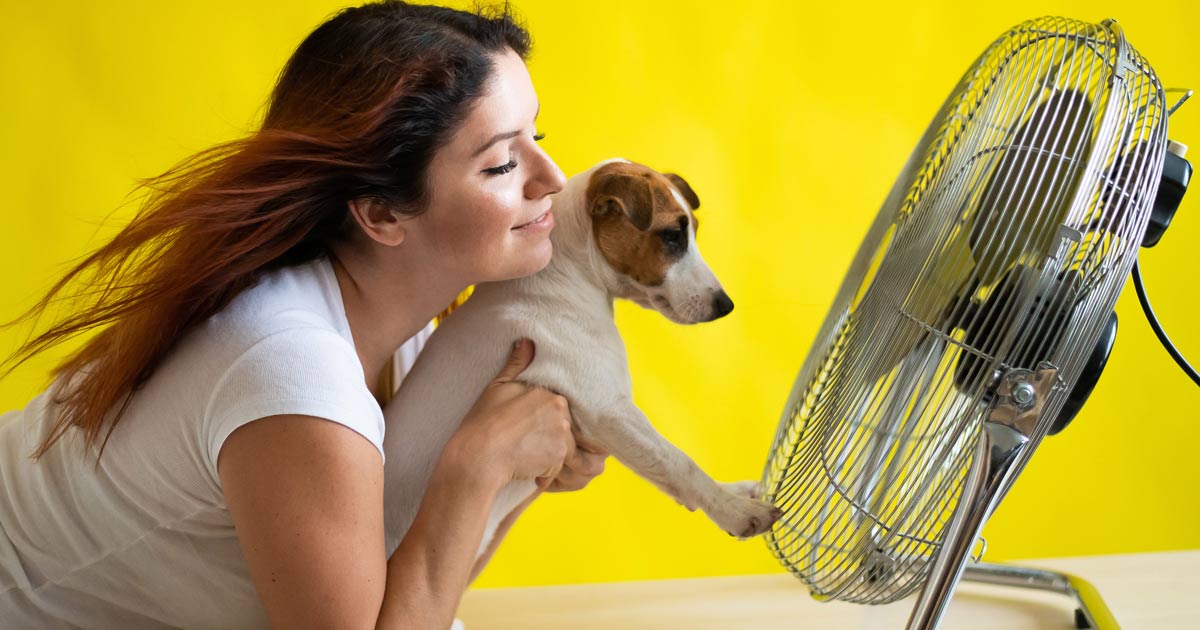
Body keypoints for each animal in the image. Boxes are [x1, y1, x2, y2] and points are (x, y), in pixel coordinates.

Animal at [379, 157, 782, 559]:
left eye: (694, 231)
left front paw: (731, 492)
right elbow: (677, 462)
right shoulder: (608, 411)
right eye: (671, 236)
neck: (568, 278)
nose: (725, 306)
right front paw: (736, 511)